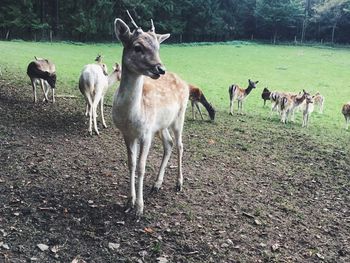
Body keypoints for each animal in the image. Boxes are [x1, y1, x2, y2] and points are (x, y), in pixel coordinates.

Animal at [112, 13, 189, 218]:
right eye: (137, 47)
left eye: (158, 47)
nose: (160, 69)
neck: (131, 117)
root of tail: (185, 83)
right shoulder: (127, 134)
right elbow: (131, 164)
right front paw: (128, 202)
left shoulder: (146, 133)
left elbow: (141, 167)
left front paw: (139, 208)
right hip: (162, 125)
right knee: (169, 144)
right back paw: (157, 184)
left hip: (179, 116)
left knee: (180, 145)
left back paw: (179, 183)